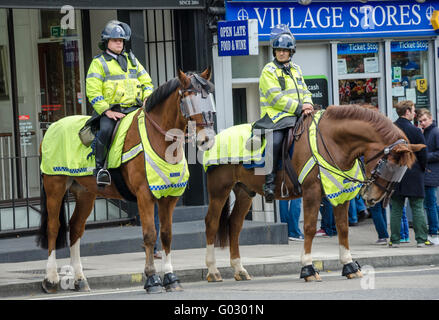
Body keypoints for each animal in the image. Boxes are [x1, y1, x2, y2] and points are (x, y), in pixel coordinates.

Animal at [37, 69, 217, 294]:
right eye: (189, 99)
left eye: (209, 98)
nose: (207, 140)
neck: (160, 140)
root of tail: (52, 126)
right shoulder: (145, 195)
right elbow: (150, 234)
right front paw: (152, 279)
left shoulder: (169, 197)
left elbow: (166, 235)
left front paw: (171, 278)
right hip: (55, 185)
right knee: (53, 227)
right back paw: (50, 278)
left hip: (86, 193)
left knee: (76, 227)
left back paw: (79, 279)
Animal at [205, 105, 426, 282]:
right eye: (389, 167)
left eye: (402, 172)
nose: (373, 198)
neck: (332, 141)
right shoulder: (312, 191)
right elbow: (310, 227)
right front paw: (308, 268)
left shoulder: (340, 192)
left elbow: (343, 228)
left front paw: (349, 265)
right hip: (219, 190)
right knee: (212, 224)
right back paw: (213, 271)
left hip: (244, 191)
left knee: (235, 225)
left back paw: (239, 269)